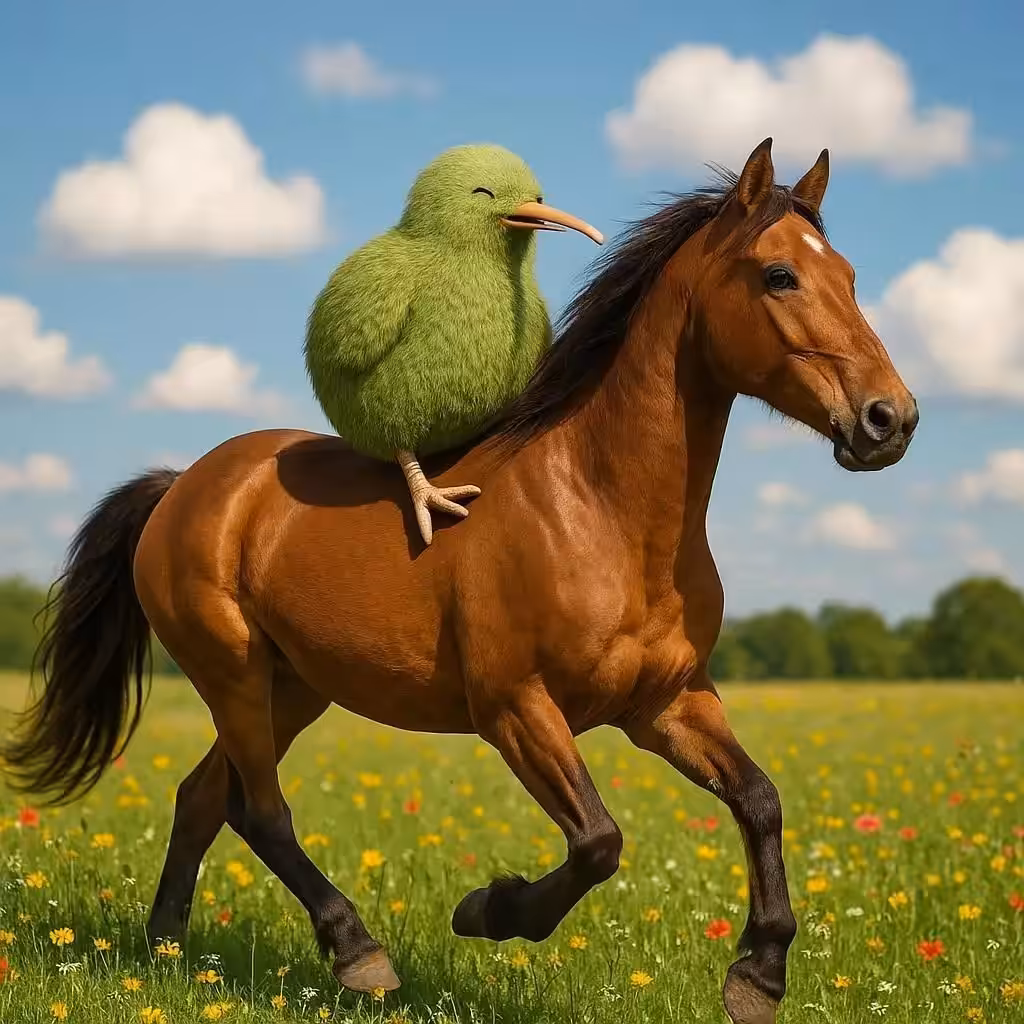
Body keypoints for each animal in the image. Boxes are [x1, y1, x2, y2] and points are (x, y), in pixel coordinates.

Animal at [2, 138, 917, 1024]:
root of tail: (182, 486)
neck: (601, 512)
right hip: (230, 671)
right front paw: (488, 909)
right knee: (259, 810)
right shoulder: (515, 708)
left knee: (202, 798)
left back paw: (164, 951)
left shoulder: (667, 705)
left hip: (292, 686)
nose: (891, 419)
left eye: (850, 277)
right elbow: (599, 841)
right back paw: (358, 956)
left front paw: (757, 976)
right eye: (779, 274)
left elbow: (759, 800)